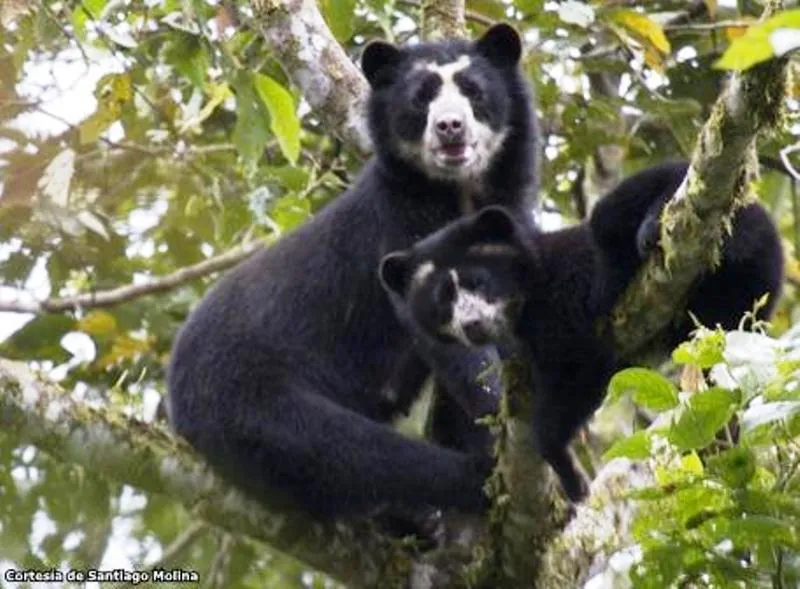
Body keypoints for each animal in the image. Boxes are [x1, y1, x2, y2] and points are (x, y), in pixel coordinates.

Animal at [170, 25, 544, 516]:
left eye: (474, 91)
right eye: (420, 100)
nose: (450, 127)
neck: (457, 192)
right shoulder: (403, 233)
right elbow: (453, 347)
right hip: (243, 395)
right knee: (341, 449)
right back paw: (466, 486)